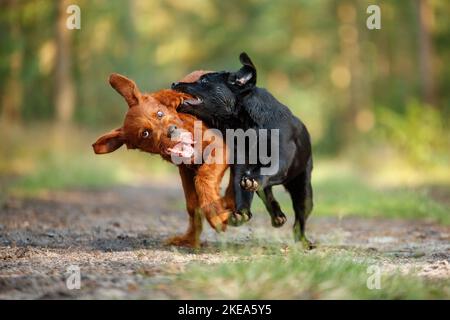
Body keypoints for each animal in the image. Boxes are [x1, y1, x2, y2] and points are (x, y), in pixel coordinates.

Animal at [91, 72, 232, 248]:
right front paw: (190, 238)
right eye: (145, 133)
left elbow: (204, 177)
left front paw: (216, 215)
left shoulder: (220, 148)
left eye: (160, 114)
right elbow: (192, 205)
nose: (172, 131)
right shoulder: (185, 170)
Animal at [172, 53, 312, 248]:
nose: (173, 83)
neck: (247, 125)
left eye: (204, 80)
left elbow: (266, 171)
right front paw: (241, 212)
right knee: (266, 192)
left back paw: (304, 241)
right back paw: (277, 215)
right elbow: (241, 190)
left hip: (303, 190)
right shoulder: (241, 164)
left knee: (300, 217)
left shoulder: (281, 159)